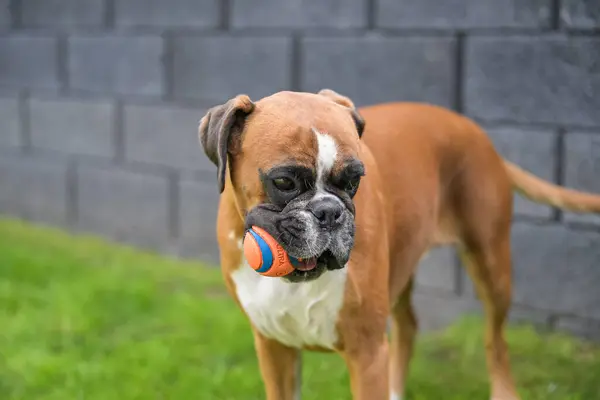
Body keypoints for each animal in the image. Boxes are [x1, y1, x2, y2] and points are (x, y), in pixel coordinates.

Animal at [198, 90, 600, 400]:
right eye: (283, 181)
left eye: (354, 180)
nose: (330, 212)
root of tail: (475, 131)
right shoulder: (274, 348)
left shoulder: (367, 354)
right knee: (409, 325)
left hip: (491, 265)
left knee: (495, 340)